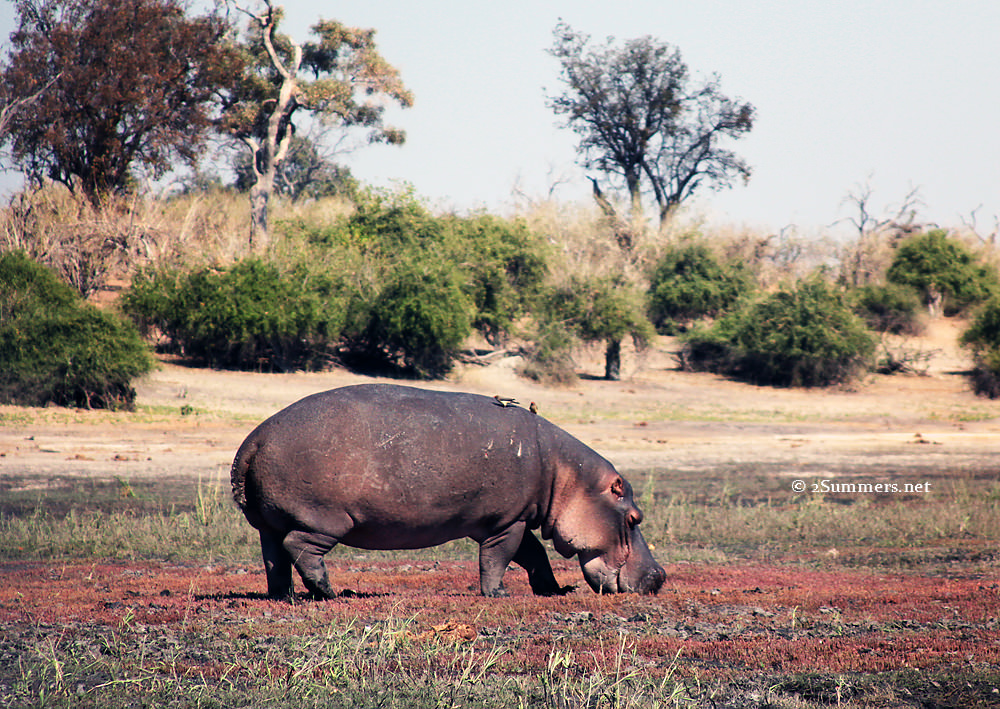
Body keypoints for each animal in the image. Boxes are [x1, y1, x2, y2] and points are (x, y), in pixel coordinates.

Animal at [230, 384, 665, 600]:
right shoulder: (507, 522)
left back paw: (285, 596)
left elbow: (533, 555)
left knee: (274, 557)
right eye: (634, 517)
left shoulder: (511, 518)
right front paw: (497, 594)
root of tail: (254, 439)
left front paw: (552, 589)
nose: (659, 577)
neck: (568, 477)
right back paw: (328, 592)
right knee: (299, 547)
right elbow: (501, 557)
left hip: (267, 522)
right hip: (325, 519)